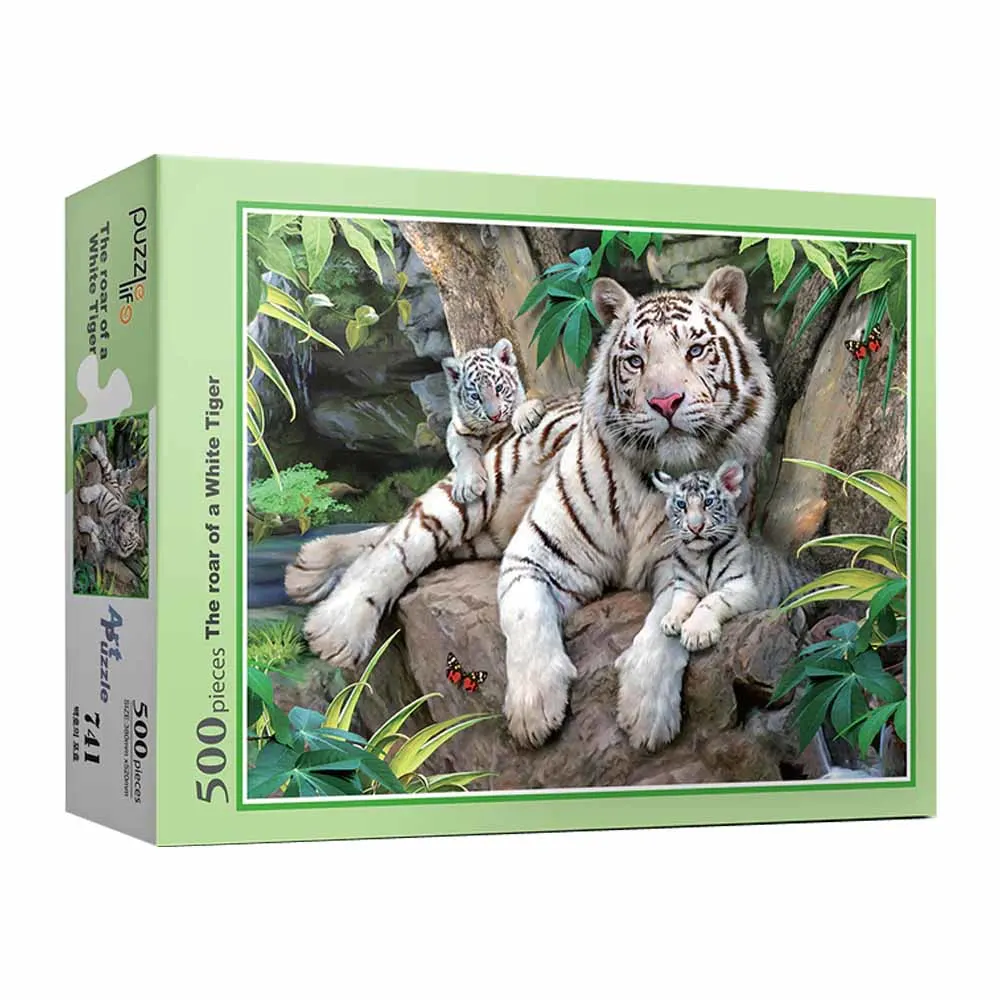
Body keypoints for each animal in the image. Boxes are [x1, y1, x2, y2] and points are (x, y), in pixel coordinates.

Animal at [442, 338, 546, 502]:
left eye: (498, 388)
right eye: (475, 396)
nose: (495, 416)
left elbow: (526, 396)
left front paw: (525, 416)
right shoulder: (456, 428)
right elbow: (463, 452)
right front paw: (467, 485)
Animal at [650, 460, 810, 651]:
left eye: (708, 502)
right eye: (682, 505)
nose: (695, 527)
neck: (699, 556)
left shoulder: (742, 586)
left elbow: (711, 601)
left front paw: (696, 633)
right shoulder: (685, 585)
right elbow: (680, 601)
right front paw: (670, 619)